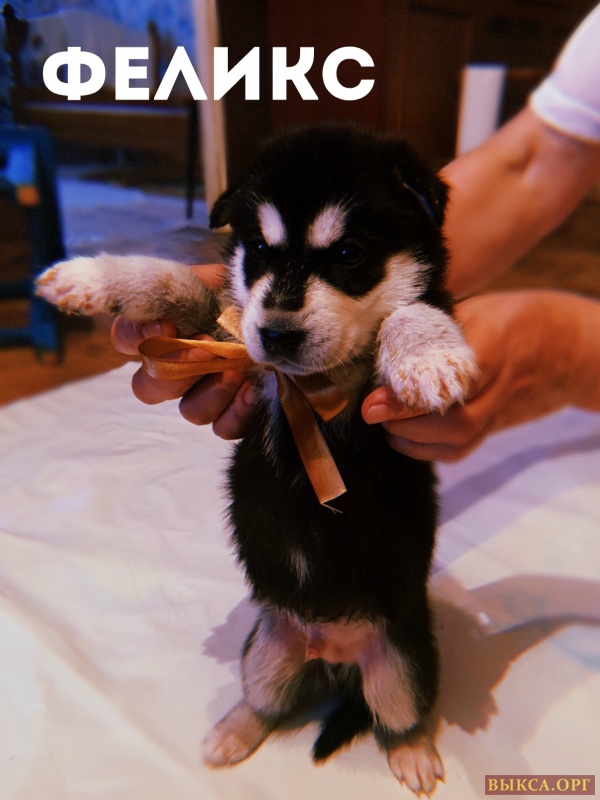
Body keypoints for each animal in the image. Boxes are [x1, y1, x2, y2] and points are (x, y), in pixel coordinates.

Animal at [37, 123, 478, 795]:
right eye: (261, 251)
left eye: (350, 254)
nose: (275, 336)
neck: (303, 383)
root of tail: (333, 656)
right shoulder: (228, 337)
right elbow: (178, 283)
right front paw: (90, 278)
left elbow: (409, 310)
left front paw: (429, 355)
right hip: (266, 650)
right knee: (264, 703)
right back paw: (228, 735)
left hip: (405, 661)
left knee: (400, 715)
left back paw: (414, 756)